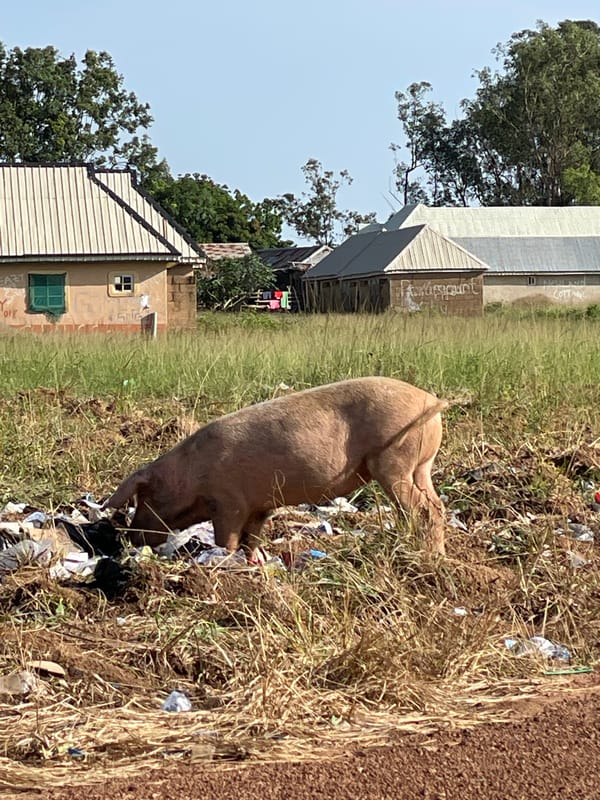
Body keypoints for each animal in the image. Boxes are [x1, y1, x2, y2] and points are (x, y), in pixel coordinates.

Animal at [105, 376, 449, 556]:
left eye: (143, 497)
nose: (131, 538)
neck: (190, 476)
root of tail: (430, 401)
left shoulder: (228, 501)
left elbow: (228, 539)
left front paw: (225, 560)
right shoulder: (259, 505)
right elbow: (251, 539)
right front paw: (254, 563)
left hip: (394, 461)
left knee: (422, 509)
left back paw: (425, 554)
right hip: (422, 466)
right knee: (436, 504)